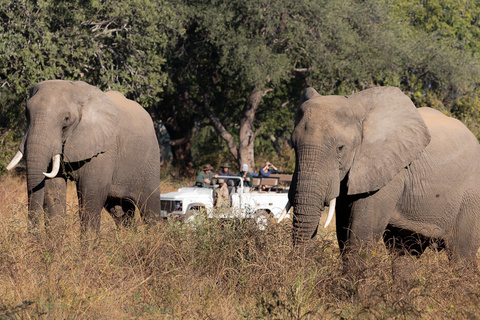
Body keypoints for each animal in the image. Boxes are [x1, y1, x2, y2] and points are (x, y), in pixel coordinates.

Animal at [6, 80, 161, 232]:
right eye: (26, 114)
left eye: (66, 119)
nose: (34, 236)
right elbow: (53, 189)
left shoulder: (104, 148)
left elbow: (91, 192)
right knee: (120, 212)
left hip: (150, 159)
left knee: (150, 209)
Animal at [284, 86, 480, 274]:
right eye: (293, 145)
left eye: (340, 148)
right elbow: (344, 232)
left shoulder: (388, 171)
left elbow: (362, 234)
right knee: (404, 254)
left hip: (471, 199)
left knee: (461, 256)